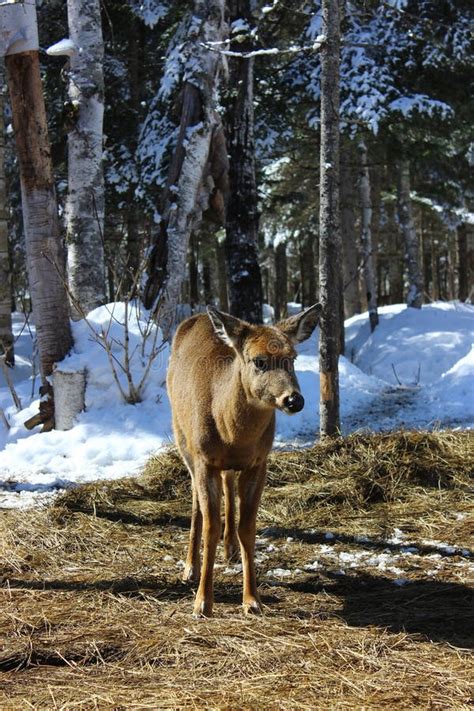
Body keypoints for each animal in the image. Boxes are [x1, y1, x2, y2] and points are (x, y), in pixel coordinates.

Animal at [168, 304, 322, 616]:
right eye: (259, 361)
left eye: (292, 358)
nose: (294, 400)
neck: (230, 432)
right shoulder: (204, 459)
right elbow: (211, 526)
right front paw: (202, 602)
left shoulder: (259, 462)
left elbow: (248, 529)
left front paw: (252, 600)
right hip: (182, 437)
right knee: (195, 500)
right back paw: (190, 567)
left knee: (228, 481)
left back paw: (230, 551)